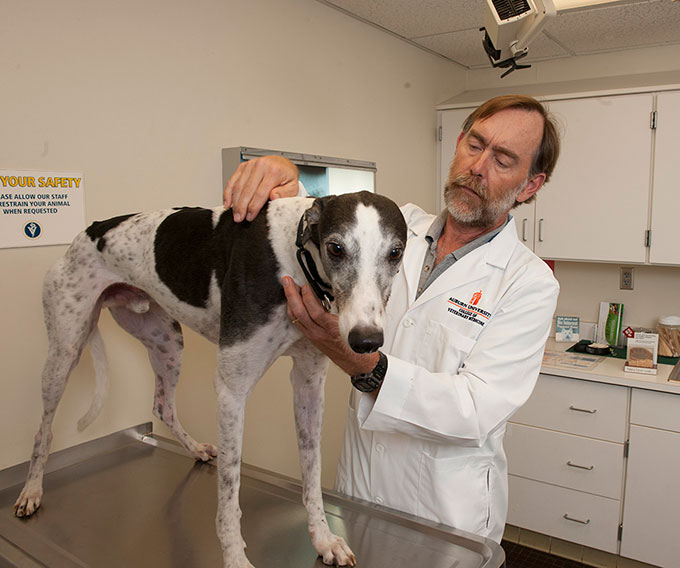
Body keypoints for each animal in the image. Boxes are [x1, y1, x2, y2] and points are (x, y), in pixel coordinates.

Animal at [14, 192, 410, 568]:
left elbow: (311, 476)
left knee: (162, 405)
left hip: (166, 341)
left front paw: (324, 540)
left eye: (396, 252)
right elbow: (229, 490)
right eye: (335, 248)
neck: (294, 263)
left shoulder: (309, 384)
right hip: (65, 350)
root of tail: (90, 230)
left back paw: (195, 449)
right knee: (43, 429)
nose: (366, 341)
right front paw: (234, 556)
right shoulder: (232, 390)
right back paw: (31, 491)